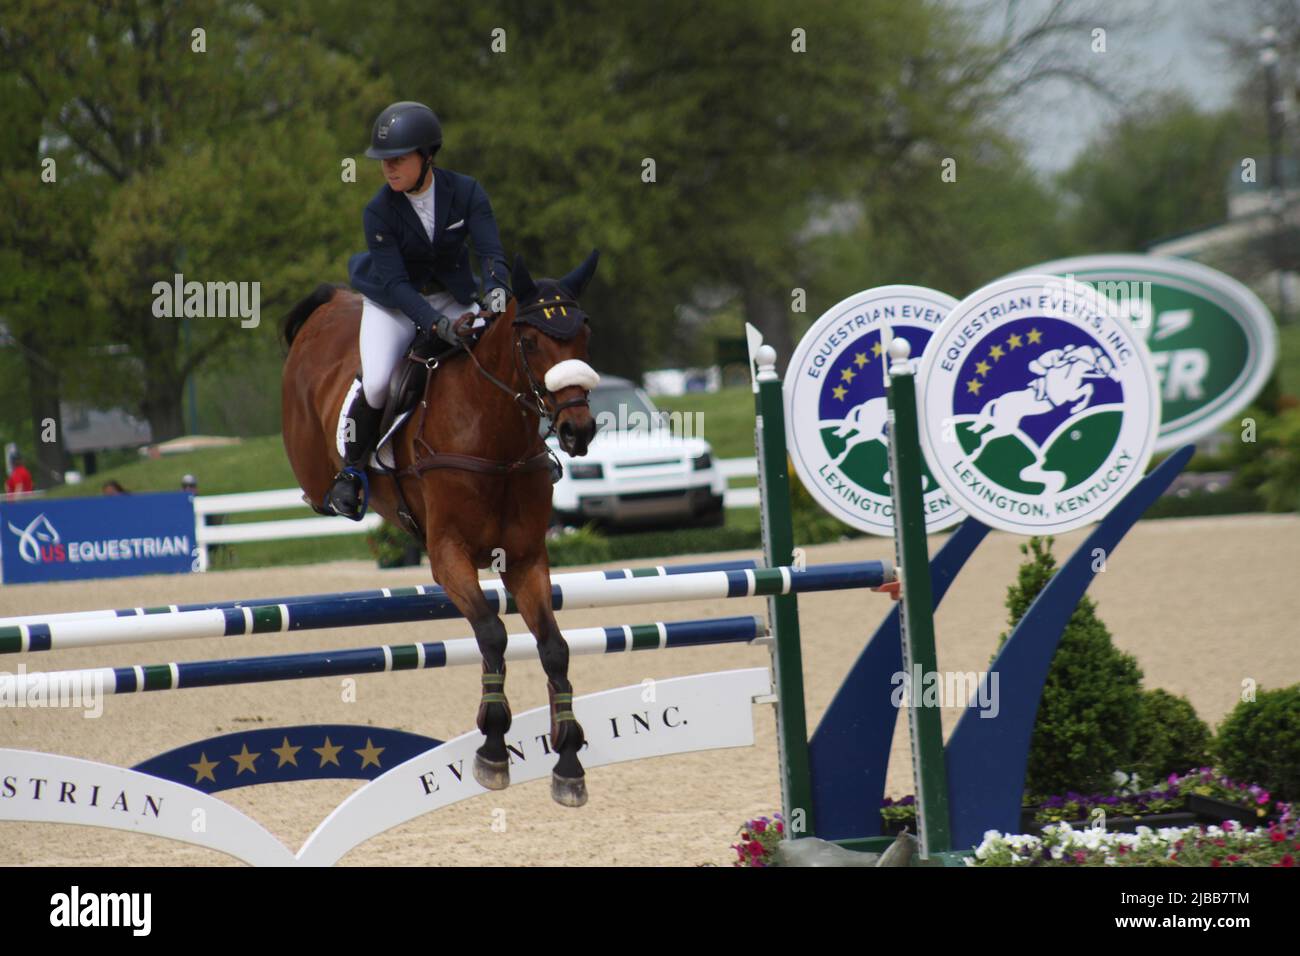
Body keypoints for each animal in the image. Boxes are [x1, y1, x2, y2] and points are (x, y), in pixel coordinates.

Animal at [282, 252, 600, 806]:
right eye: (531, 342)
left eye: (582, 332)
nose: (577, 431)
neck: (495, 435)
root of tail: (335, 300)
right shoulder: (449, 555)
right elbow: (492, 633)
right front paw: (492, 748)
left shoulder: (525, 559)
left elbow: (554, 647)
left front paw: (567, 759)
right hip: (310, 456)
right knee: (327, 468)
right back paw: (340, 490)